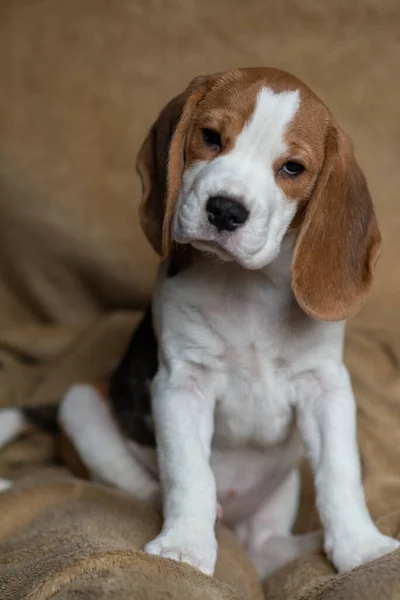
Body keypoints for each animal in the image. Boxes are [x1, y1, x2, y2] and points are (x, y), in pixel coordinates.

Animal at [1, 68, 398, 580]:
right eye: (210, 137)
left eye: (292, 168)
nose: (225, 210)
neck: (246, 286)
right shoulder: (181, 384)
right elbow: (190, 473)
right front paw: (184, 547)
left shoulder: (326, 388)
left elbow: (339, 473)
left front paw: (361, 546)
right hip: (82, 405)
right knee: (146, 485)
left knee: (265, 549)